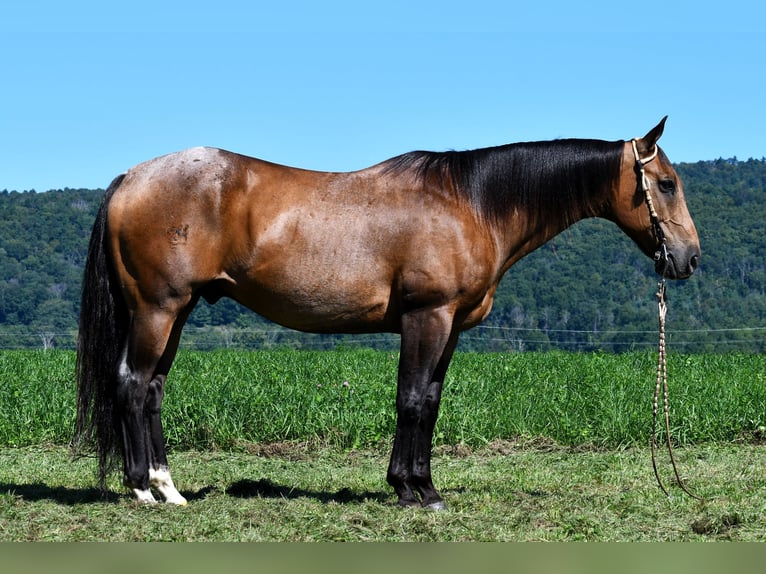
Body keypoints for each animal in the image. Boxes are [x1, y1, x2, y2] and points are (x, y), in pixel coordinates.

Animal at [75, 116, 700, 508]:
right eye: (666, 183)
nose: (689, 258)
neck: (473, 204)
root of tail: (131, 177)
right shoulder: (428, 317)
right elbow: (412, 399)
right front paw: (412, 491)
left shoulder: (451, 326)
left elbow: (431, 403)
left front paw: (421, 486)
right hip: (157, 309)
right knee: (131, 383)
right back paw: (141, 489)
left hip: (175, 312)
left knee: (153, 389)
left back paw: (169, 488)